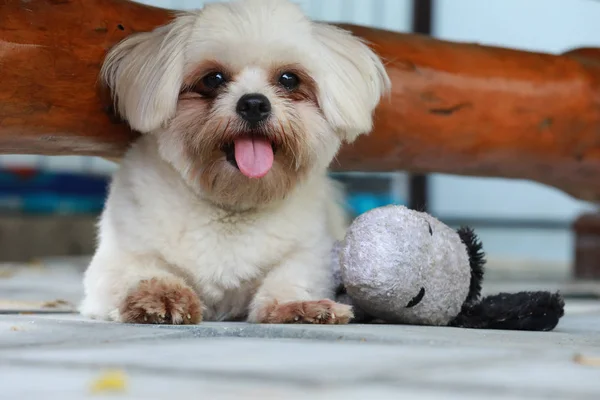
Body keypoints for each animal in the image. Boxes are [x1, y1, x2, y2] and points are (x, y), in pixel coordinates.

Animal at [81, 0, 390, 324]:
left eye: (289, 79)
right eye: (213, 78)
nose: (254, 103)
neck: (233, 204)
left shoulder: (310, 254)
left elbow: (290, 278)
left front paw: (298, 306)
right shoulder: (116, 261)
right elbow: (138, 271)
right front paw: (160, 295)